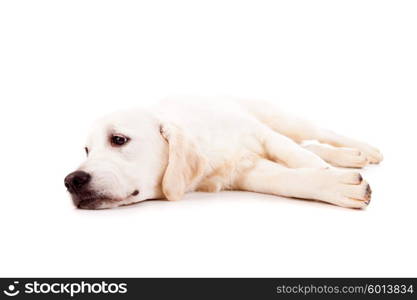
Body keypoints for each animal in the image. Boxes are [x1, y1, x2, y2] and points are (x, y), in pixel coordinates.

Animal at [64, 97, 380, 210]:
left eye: (118, 139)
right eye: (87, 150)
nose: (71, 180)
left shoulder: (262, 135)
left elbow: (301, 158)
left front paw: (331, 174)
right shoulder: (244, 172)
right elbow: (285, 179)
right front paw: (334, 184)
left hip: (282, 120)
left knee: (319, 134)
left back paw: (365, 151)